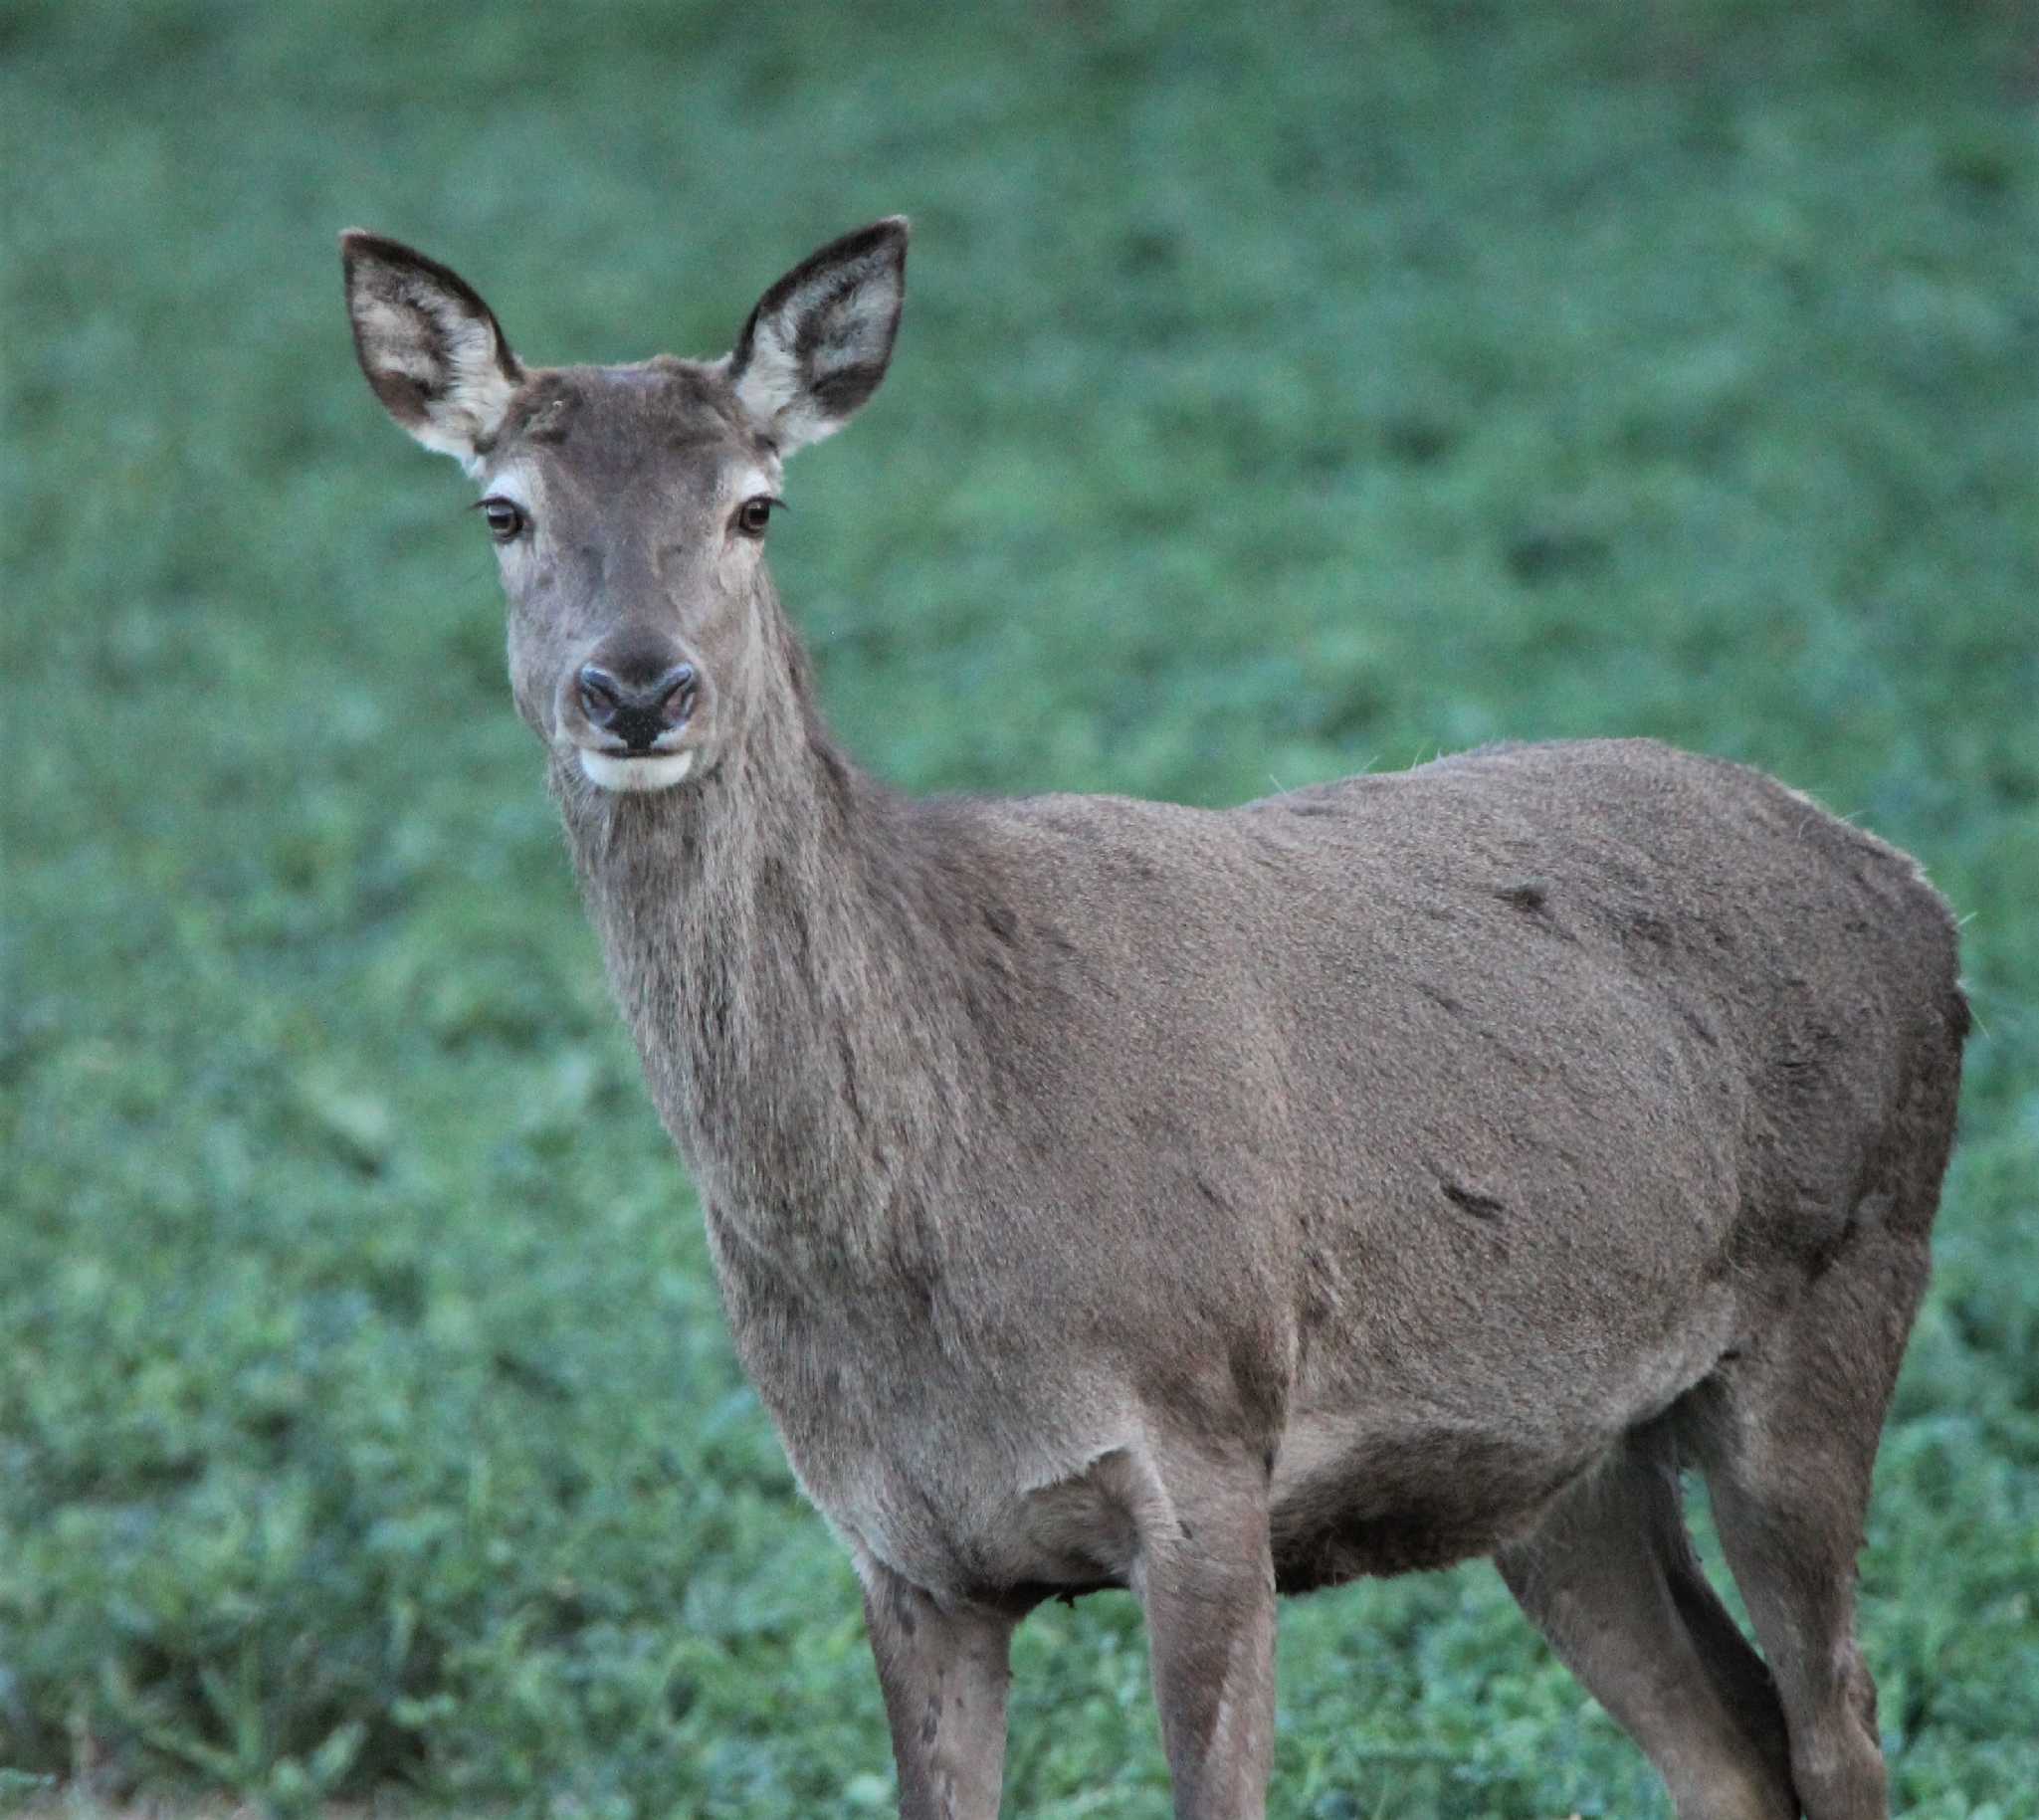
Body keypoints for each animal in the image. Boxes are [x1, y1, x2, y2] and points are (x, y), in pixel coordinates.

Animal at [342, 217, 1965, 1817]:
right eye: (502, 513)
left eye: (757, 506)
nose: (635, 689)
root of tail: (1921, 900)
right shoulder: (897, 1545)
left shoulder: (1209, 1456)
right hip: (1564, 1460)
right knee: (1732, 1748)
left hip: (1839, 1298)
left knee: (1842, 1725)